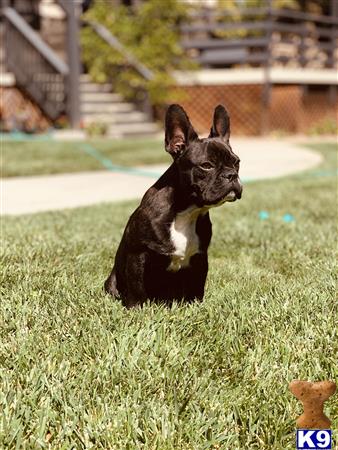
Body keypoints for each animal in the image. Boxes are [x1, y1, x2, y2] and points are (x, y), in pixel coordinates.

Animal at [104, 104, 242, 308]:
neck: (187, 212)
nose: (232, 175)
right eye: (206, 165)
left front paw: (195, 306)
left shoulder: (200, 258)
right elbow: (136, 286)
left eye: (237, 162)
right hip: (112, 280)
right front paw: (137, 308)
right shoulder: (137, 255)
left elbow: (196, 286)